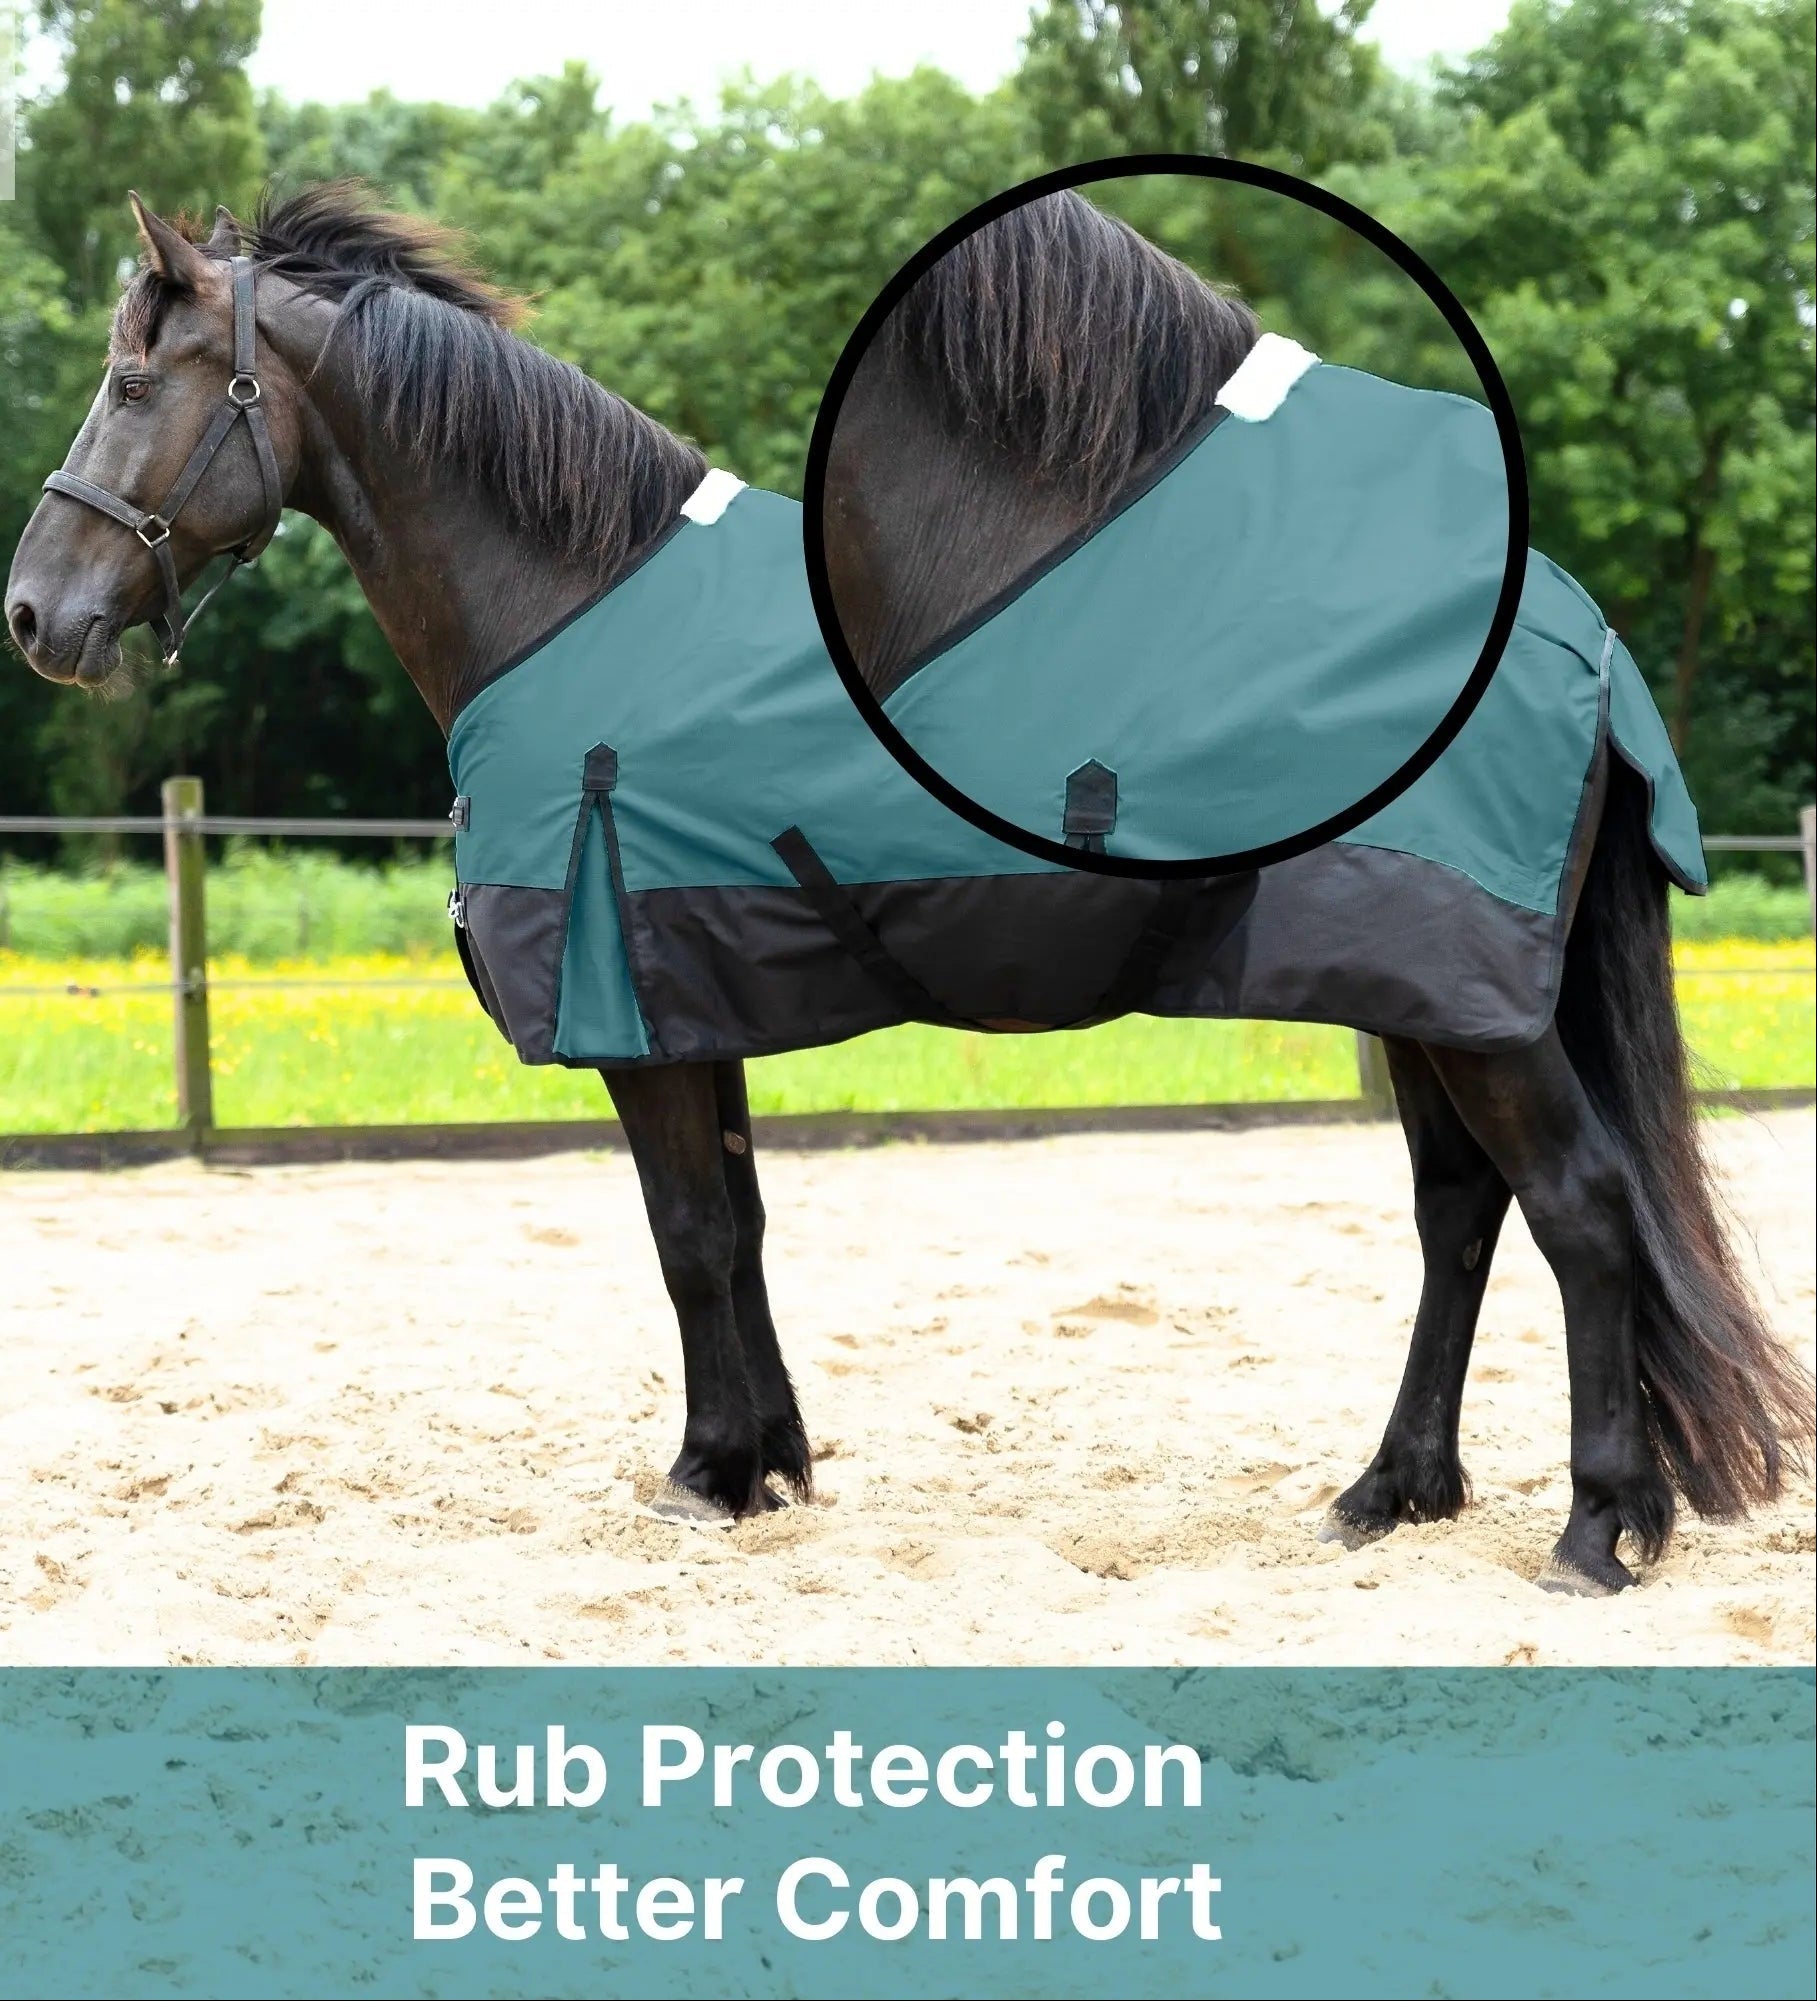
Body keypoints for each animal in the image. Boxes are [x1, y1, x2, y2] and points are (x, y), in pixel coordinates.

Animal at [6, 184, 1809, 1595]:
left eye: (130, 380)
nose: (35, 613)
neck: (570, 600)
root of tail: (1571, 629)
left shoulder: (637, 1011)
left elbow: (683, 1235)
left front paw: (706, 1474)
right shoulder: (694, 998)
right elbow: (734, 1226)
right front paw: (768, 1463)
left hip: (1469, 1003)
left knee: (1578, 1209)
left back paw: (1597, 1530)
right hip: (1423, 994)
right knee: (1461, 1213)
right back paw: (1389, 1495)